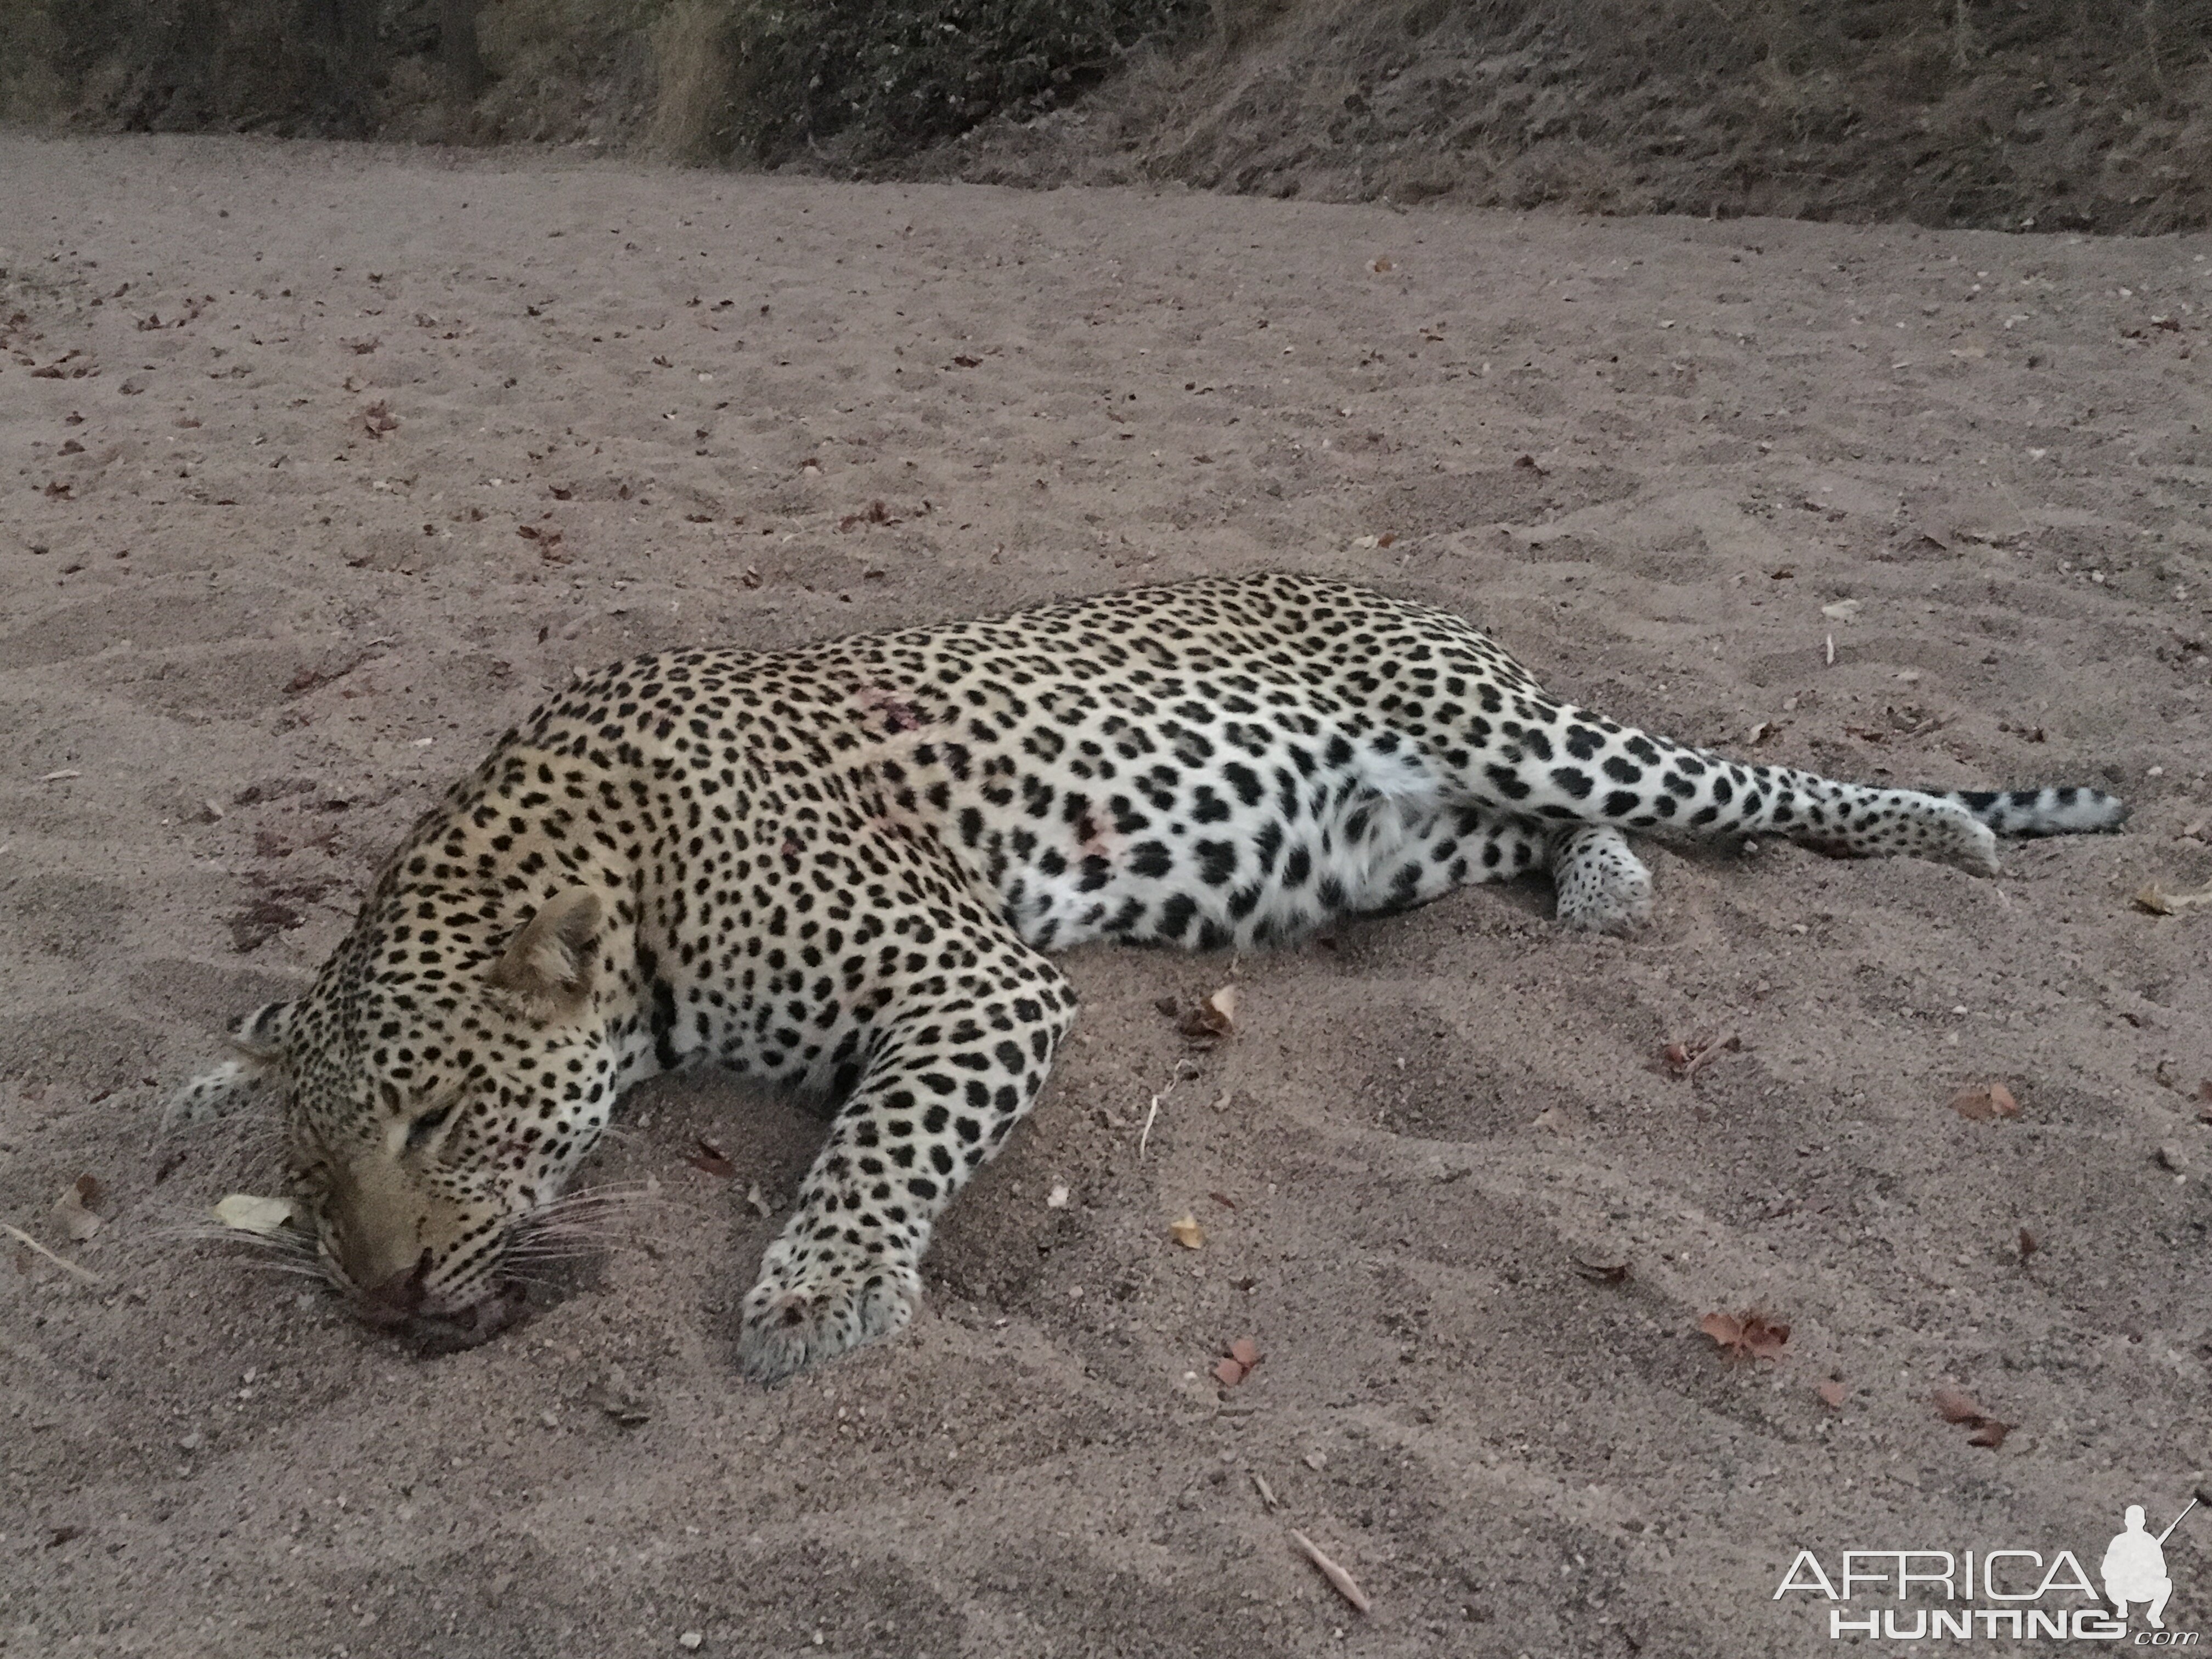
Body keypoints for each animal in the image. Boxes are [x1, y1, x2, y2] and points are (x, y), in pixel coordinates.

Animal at [172, 579, 2123, 1380]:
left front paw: (821, 1293)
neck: (619, 860)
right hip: (1387, 842)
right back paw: (1606, 888)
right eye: (310, 1181)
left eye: (444, 1120)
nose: (382, 1301)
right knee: (1532, 838)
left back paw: (1952, 832)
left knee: (1744, 782)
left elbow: (874, 1146)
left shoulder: (976, 980)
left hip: (1514, 727)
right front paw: (208, 1081)